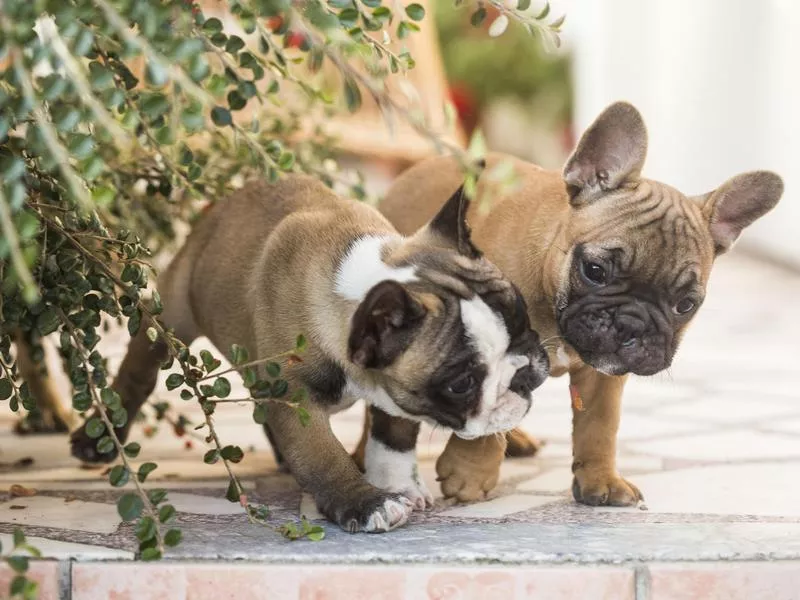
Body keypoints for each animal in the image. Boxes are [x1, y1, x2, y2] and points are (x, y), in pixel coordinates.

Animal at [70, 175, 552, 536]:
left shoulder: (394, 391)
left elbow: (393, 437)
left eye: (520, 315)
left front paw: (396, 484)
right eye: (461, 383)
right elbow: (321, 455)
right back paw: (99, 437)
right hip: (169, 317)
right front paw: (367, 502)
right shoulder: (295, 400)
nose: (524, 373)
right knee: (139, 371)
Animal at [364, 102, 788, 506]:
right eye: (595, 270)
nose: (633, 323)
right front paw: (470, 472)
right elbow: (486, 415)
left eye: (685, 304)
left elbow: (599, 427)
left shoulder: (603, 379)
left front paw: (601, 481)